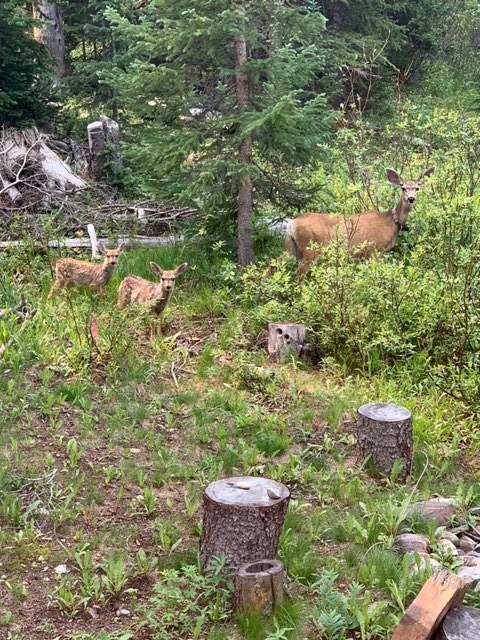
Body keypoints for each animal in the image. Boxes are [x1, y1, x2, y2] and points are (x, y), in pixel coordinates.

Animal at [285, 167, 435, 281]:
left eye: (417, 188)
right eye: (403, 188)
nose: (411, 198)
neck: (391, 223)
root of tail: (292, 223)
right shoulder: (373, 249)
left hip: (293, 248)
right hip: (311, 248)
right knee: (299, 273)